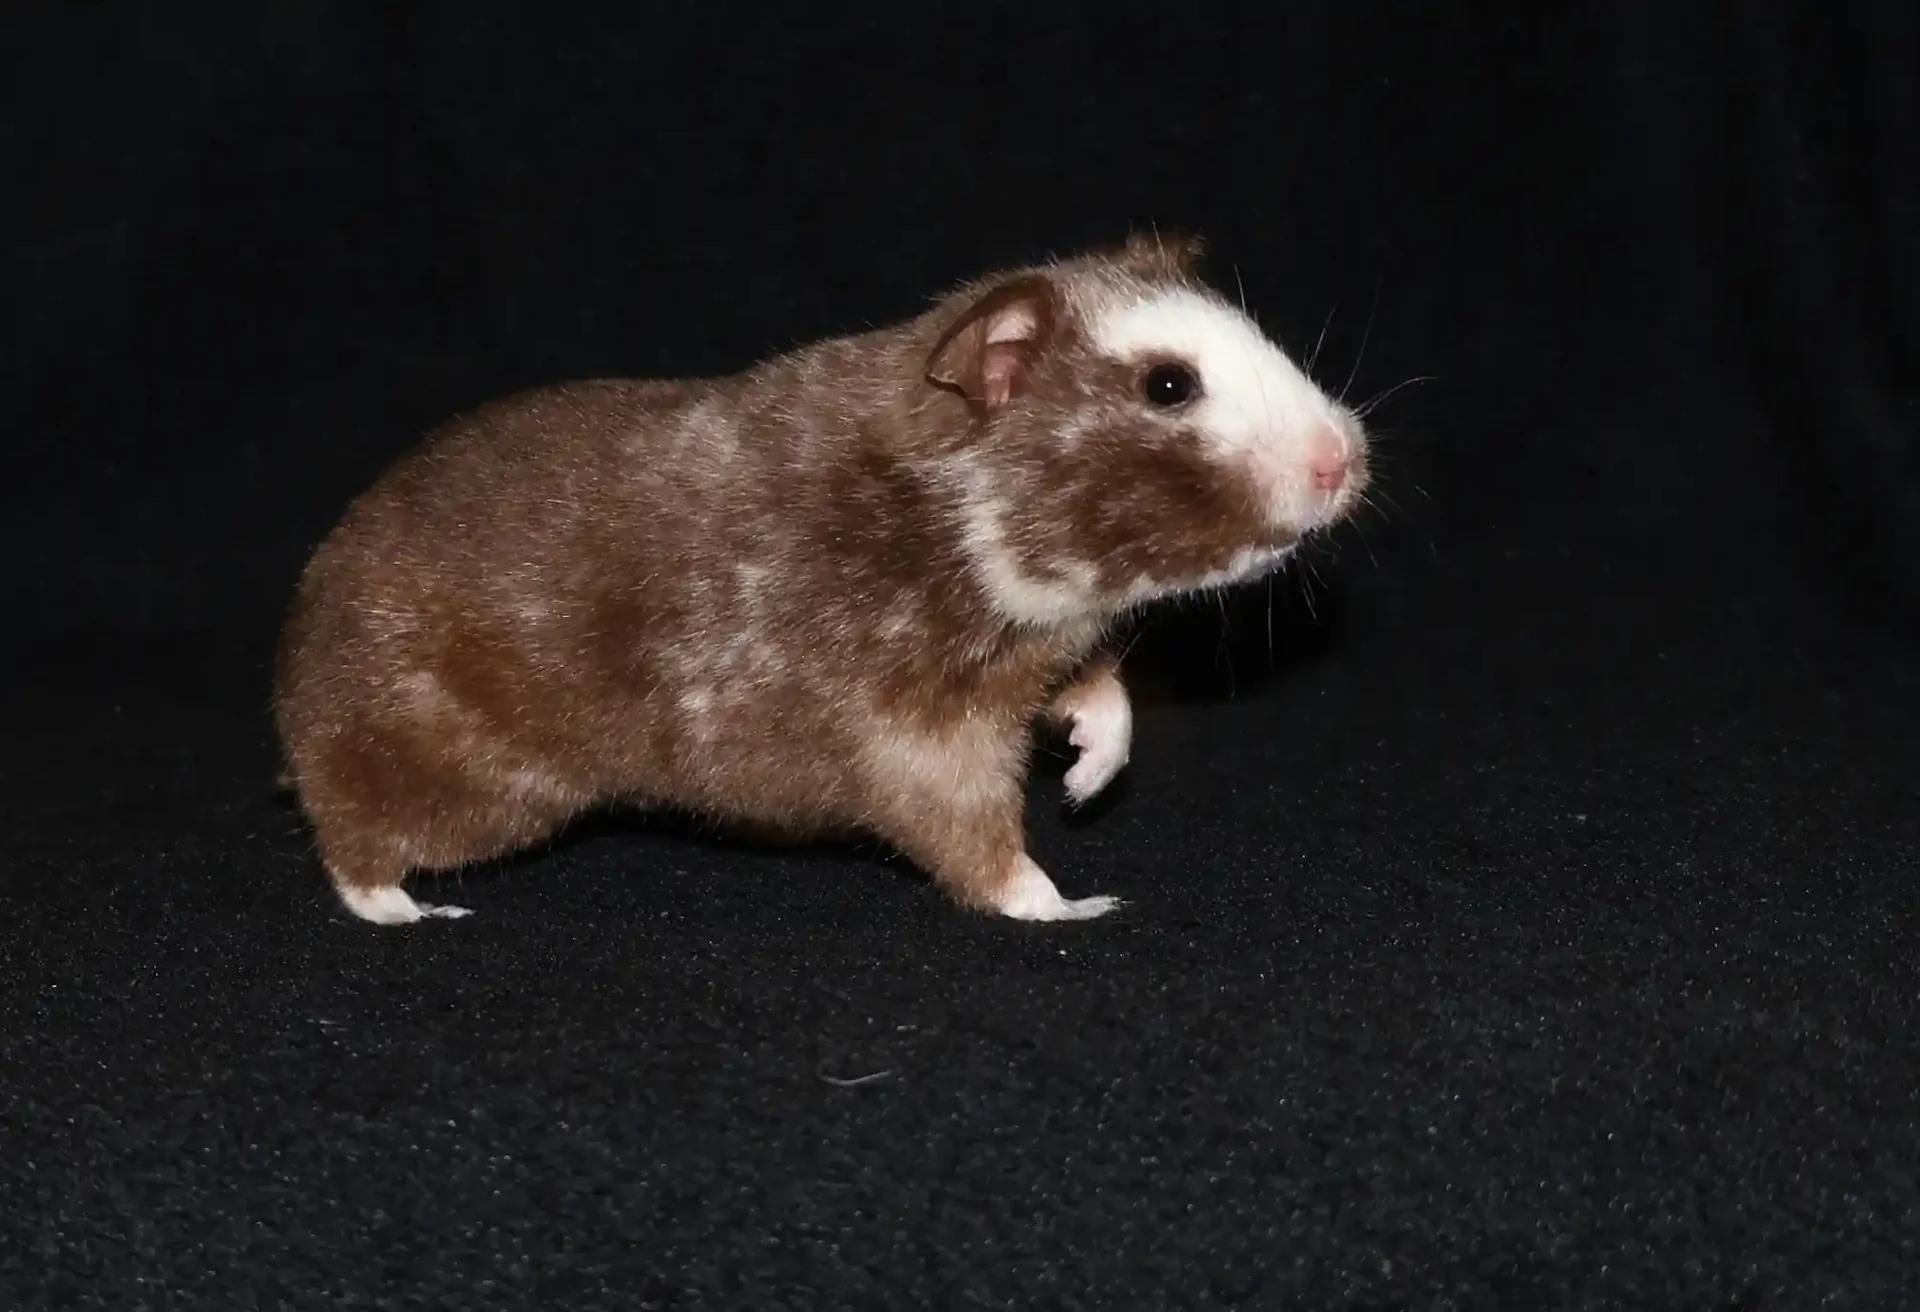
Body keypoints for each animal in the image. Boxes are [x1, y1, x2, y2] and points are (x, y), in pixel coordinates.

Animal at [272, 233, 1370, 926]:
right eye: (1169, 386)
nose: (1348, 460)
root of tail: (297, 666)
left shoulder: (1045, 658)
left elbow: (1103, 698)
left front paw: (1088, 778)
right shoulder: (916, 736)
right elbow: (979, 844)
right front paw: (1078, 906)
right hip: (471, 778)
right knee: (350, 833)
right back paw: (406, 909)